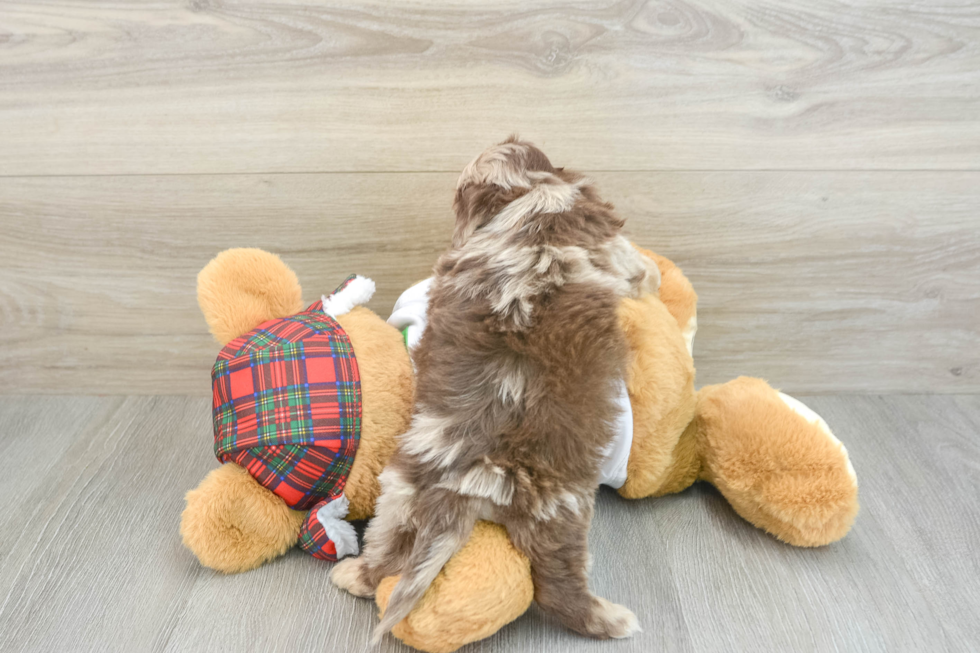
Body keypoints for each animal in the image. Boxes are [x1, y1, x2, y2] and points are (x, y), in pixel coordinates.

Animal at [334, 138, 664, 640]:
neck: (533, 199)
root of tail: (481, 478)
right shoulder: (607, 242)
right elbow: (636, 267)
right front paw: (656, 274)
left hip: (405, 494)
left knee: (392, 552)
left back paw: (354, 575)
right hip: (560, 516)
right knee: (557, 588)